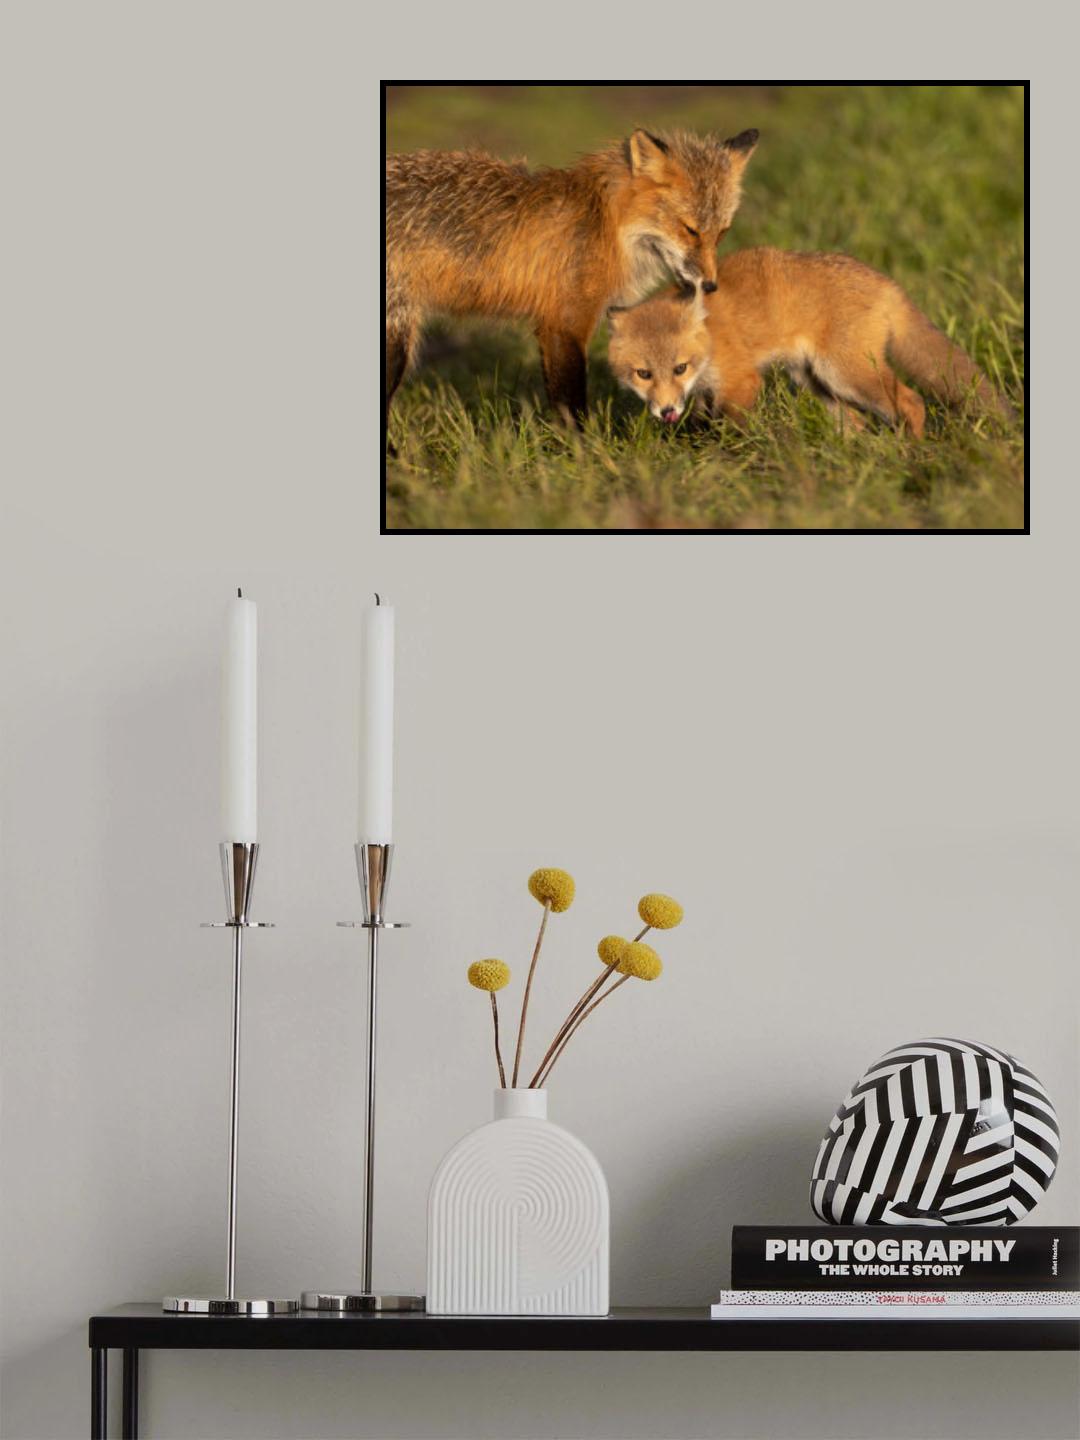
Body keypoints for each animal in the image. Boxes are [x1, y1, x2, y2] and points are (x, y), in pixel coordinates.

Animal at [385, 128, 759, 441]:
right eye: (690, 230)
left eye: (721, 233)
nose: (710, 286)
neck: (607, 225)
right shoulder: (565, 322)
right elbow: (569, 400)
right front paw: (585, 450)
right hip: (396, 341)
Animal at [607, 247, 1013, 438]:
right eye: (643, 374)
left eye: (680, 367)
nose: (666, 412)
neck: (710, 343)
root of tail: (887, 283)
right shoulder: (707, 394)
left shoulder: (741, 381)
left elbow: (730, 428)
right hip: (815, 382)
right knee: (857, 423)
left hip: (845, 374)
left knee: (912, 402)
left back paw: (910, 451)